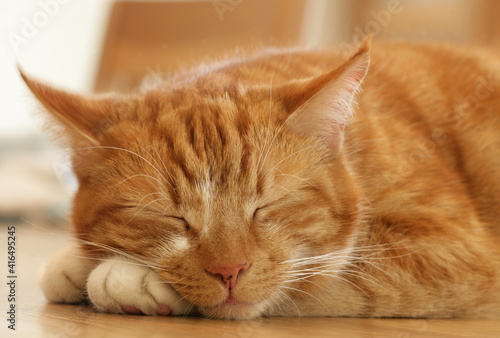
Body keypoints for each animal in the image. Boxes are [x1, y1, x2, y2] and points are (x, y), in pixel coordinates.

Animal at [18, 38, 500, 318]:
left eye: (265, 207)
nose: (229, 271)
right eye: (172, 219)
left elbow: (316, 277)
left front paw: (125, 277)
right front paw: (79, 261)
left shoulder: (450, 251)